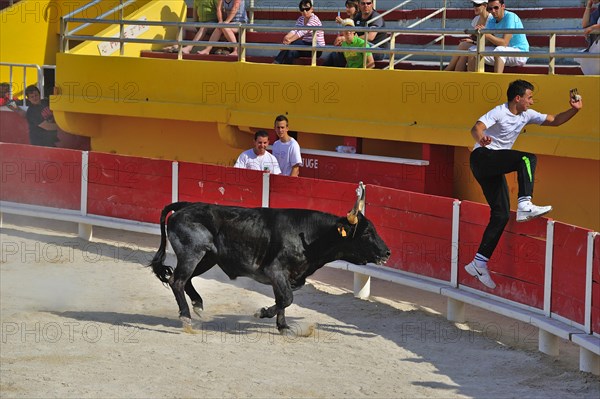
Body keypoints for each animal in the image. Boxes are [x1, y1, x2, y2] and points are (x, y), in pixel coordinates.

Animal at [149, 190, 392, 332]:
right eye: (366, 232)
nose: (387, 252)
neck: (310, 236)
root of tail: (185, 206)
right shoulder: (276, 271)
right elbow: (287, 298)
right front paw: (262, 313)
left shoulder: (286, 277)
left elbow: (282, 299)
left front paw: (283, 327)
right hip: (192, 253)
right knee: (177, 281)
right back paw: (186, 317)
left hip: (207, 258)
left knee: (185, 280)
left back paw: (198, 305)